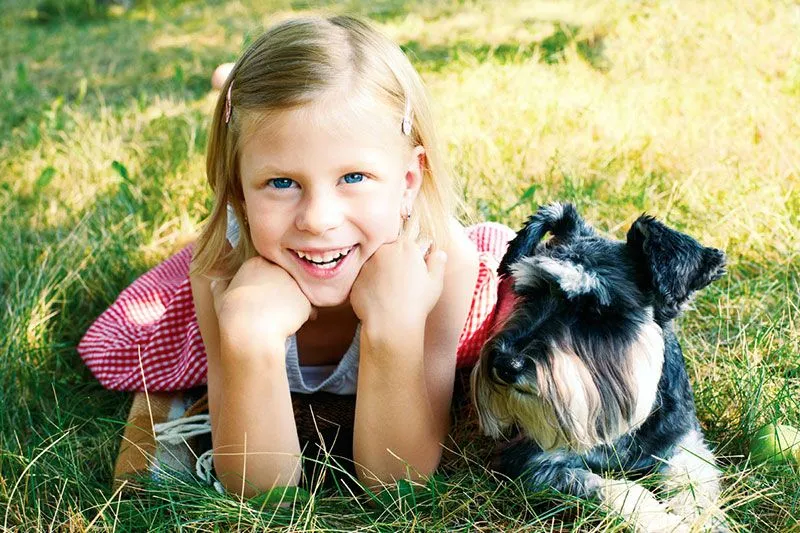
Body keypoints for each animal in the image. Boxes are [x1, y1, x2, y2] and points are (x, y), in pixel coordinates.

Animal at [472, 202, 728, 528]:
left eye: (595, 312)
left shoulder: (684, 446)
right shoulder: (535, 464)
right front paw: (664, 522)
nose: (506, 364)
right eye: (530, 293)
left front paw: (702, 521)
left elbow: (696, 489)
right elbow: (622, 491)